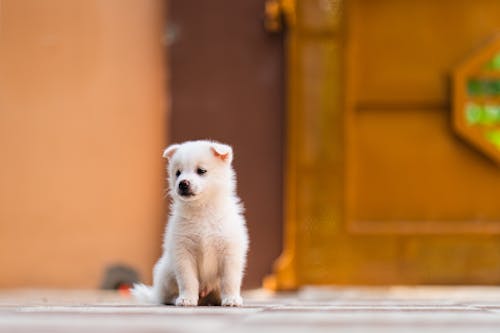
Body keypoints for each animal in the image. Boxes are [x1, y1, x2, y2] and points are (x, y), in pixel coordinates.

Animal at [132, 139, 249, 304]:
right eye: (178, 173)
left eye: (201, 171)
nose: (182, 183)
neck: (202, 210)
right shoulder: (183, 252)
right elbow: (188, 279)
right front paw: (187, 299)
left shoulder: (229, 251)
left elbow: (229, 280)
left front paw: (231, 299)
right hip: (166, 273)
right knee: (165, 295)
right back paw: (175, 298)